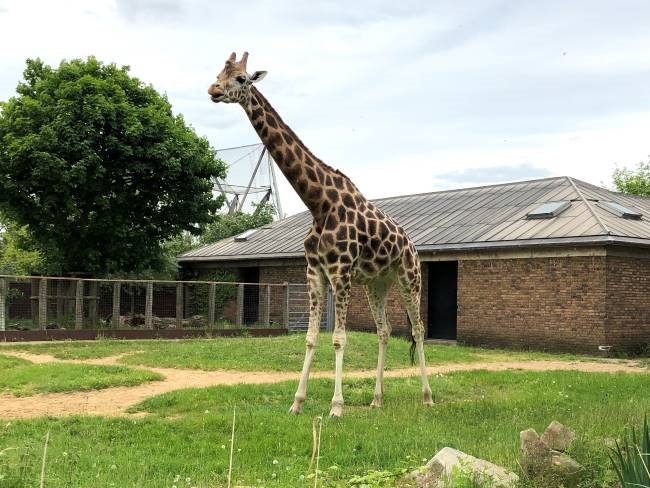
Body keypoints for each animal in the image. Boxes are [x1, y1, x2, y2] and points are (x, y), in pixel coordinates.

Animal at [208, 53, 430, 418]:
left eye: (240, 78)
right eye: (218, 73)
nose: (212, 90)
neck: (318, 203)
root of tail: (411, 244)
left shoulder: (340, 272)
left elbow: (338, 338)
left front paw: (336, 406)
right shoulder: (314, 271)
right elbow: (311, 337)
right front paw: (297, 402)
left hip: (409, 277)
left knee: (418, 329)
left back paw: (427, 397)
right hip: (376, 282)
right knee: (384, 331)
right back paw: (376, 399)